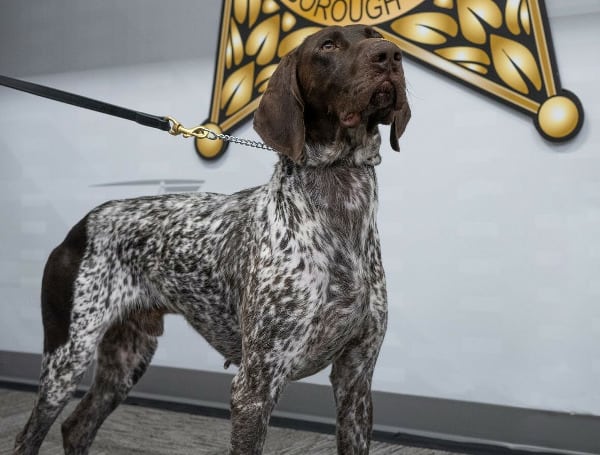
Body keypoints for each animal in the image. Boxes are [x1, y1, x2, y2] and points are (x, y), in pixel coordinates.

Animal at [15, 25, 408, 455]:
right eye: (328, 45)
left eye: (375, 35)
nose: (390, 54)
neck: (341, 206)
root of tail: (82, 224)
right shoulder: (255, 387)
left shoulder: (356, 381)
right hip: (68, 355)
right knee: (30, 435)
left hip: (126, 358)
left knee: (78, 426)